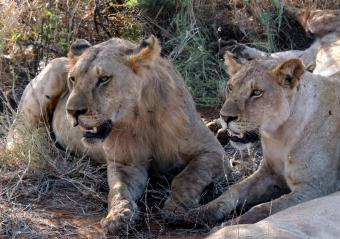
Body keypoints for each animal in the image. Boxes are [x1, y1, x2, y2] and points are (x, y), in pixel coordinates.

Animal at [6, 35, 230, 233]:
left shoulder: (214, 153)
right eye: (73, 79)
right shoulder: (126, 164)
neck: (141, 117)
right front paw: (118, 217)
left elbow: (188, 177)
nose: (72, 111)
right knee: (17, 135)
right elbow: (118, 190)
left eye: (103, 79)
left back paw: (220, 130)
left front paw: (177, 207)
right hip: (50, 78)